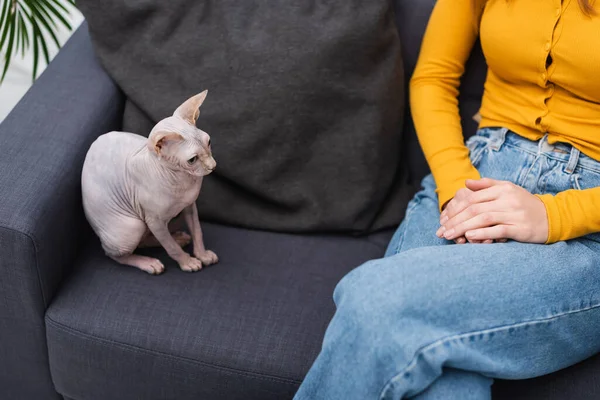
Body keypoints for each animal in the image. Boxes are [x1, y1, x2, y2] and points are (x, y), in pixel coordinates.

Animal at [81, 90, 218, 276]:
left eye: (208, 142)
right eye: (192, 160)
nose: (213, 166)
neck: (182, 179)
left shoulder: (190, 206)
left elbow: (197, 230)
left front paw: (202, 255)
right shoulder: (155, 221)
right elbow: (171, 247)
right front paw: (188, 262)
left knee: (144, 241)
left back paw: (178, 238)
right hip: (133, 226)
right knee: (115, 254)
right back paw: (149, 262)